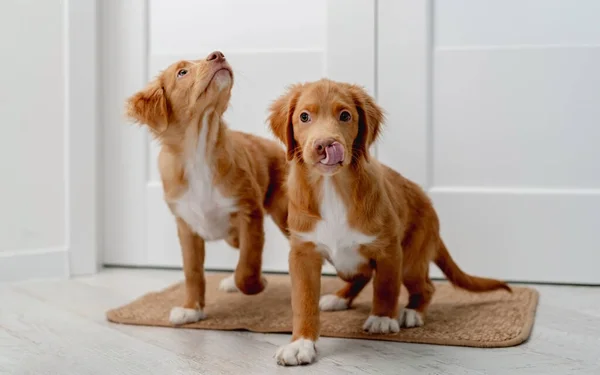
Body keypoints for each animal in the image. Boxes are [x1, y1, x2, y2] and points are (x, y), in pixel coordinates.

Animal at [125, 50, 290, 326]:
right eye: (182, 72)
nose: (218, 54)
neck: (199, 151)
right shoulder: (186, 226)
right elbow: (193, 272)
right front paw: (191, 308)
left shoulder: (249, 213)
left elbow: (248, 265)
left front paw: (257, 284)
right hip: (233, 235)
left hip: (287, 215)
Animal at [270, 80, 508, 368]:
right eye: (304, 117)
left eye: (345, 116)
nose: (326, 144)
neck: (332, 186)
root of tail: (428, 204)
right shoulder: (303, 253)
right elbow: (303, 301)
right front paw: (301, 343)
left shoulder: (389, 249)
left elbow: (385, 286)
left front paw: (383, 318)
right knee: (361, 276)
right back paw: (339, 298)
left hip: (411, 260)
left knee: (425, 287)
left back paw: (411, 312)